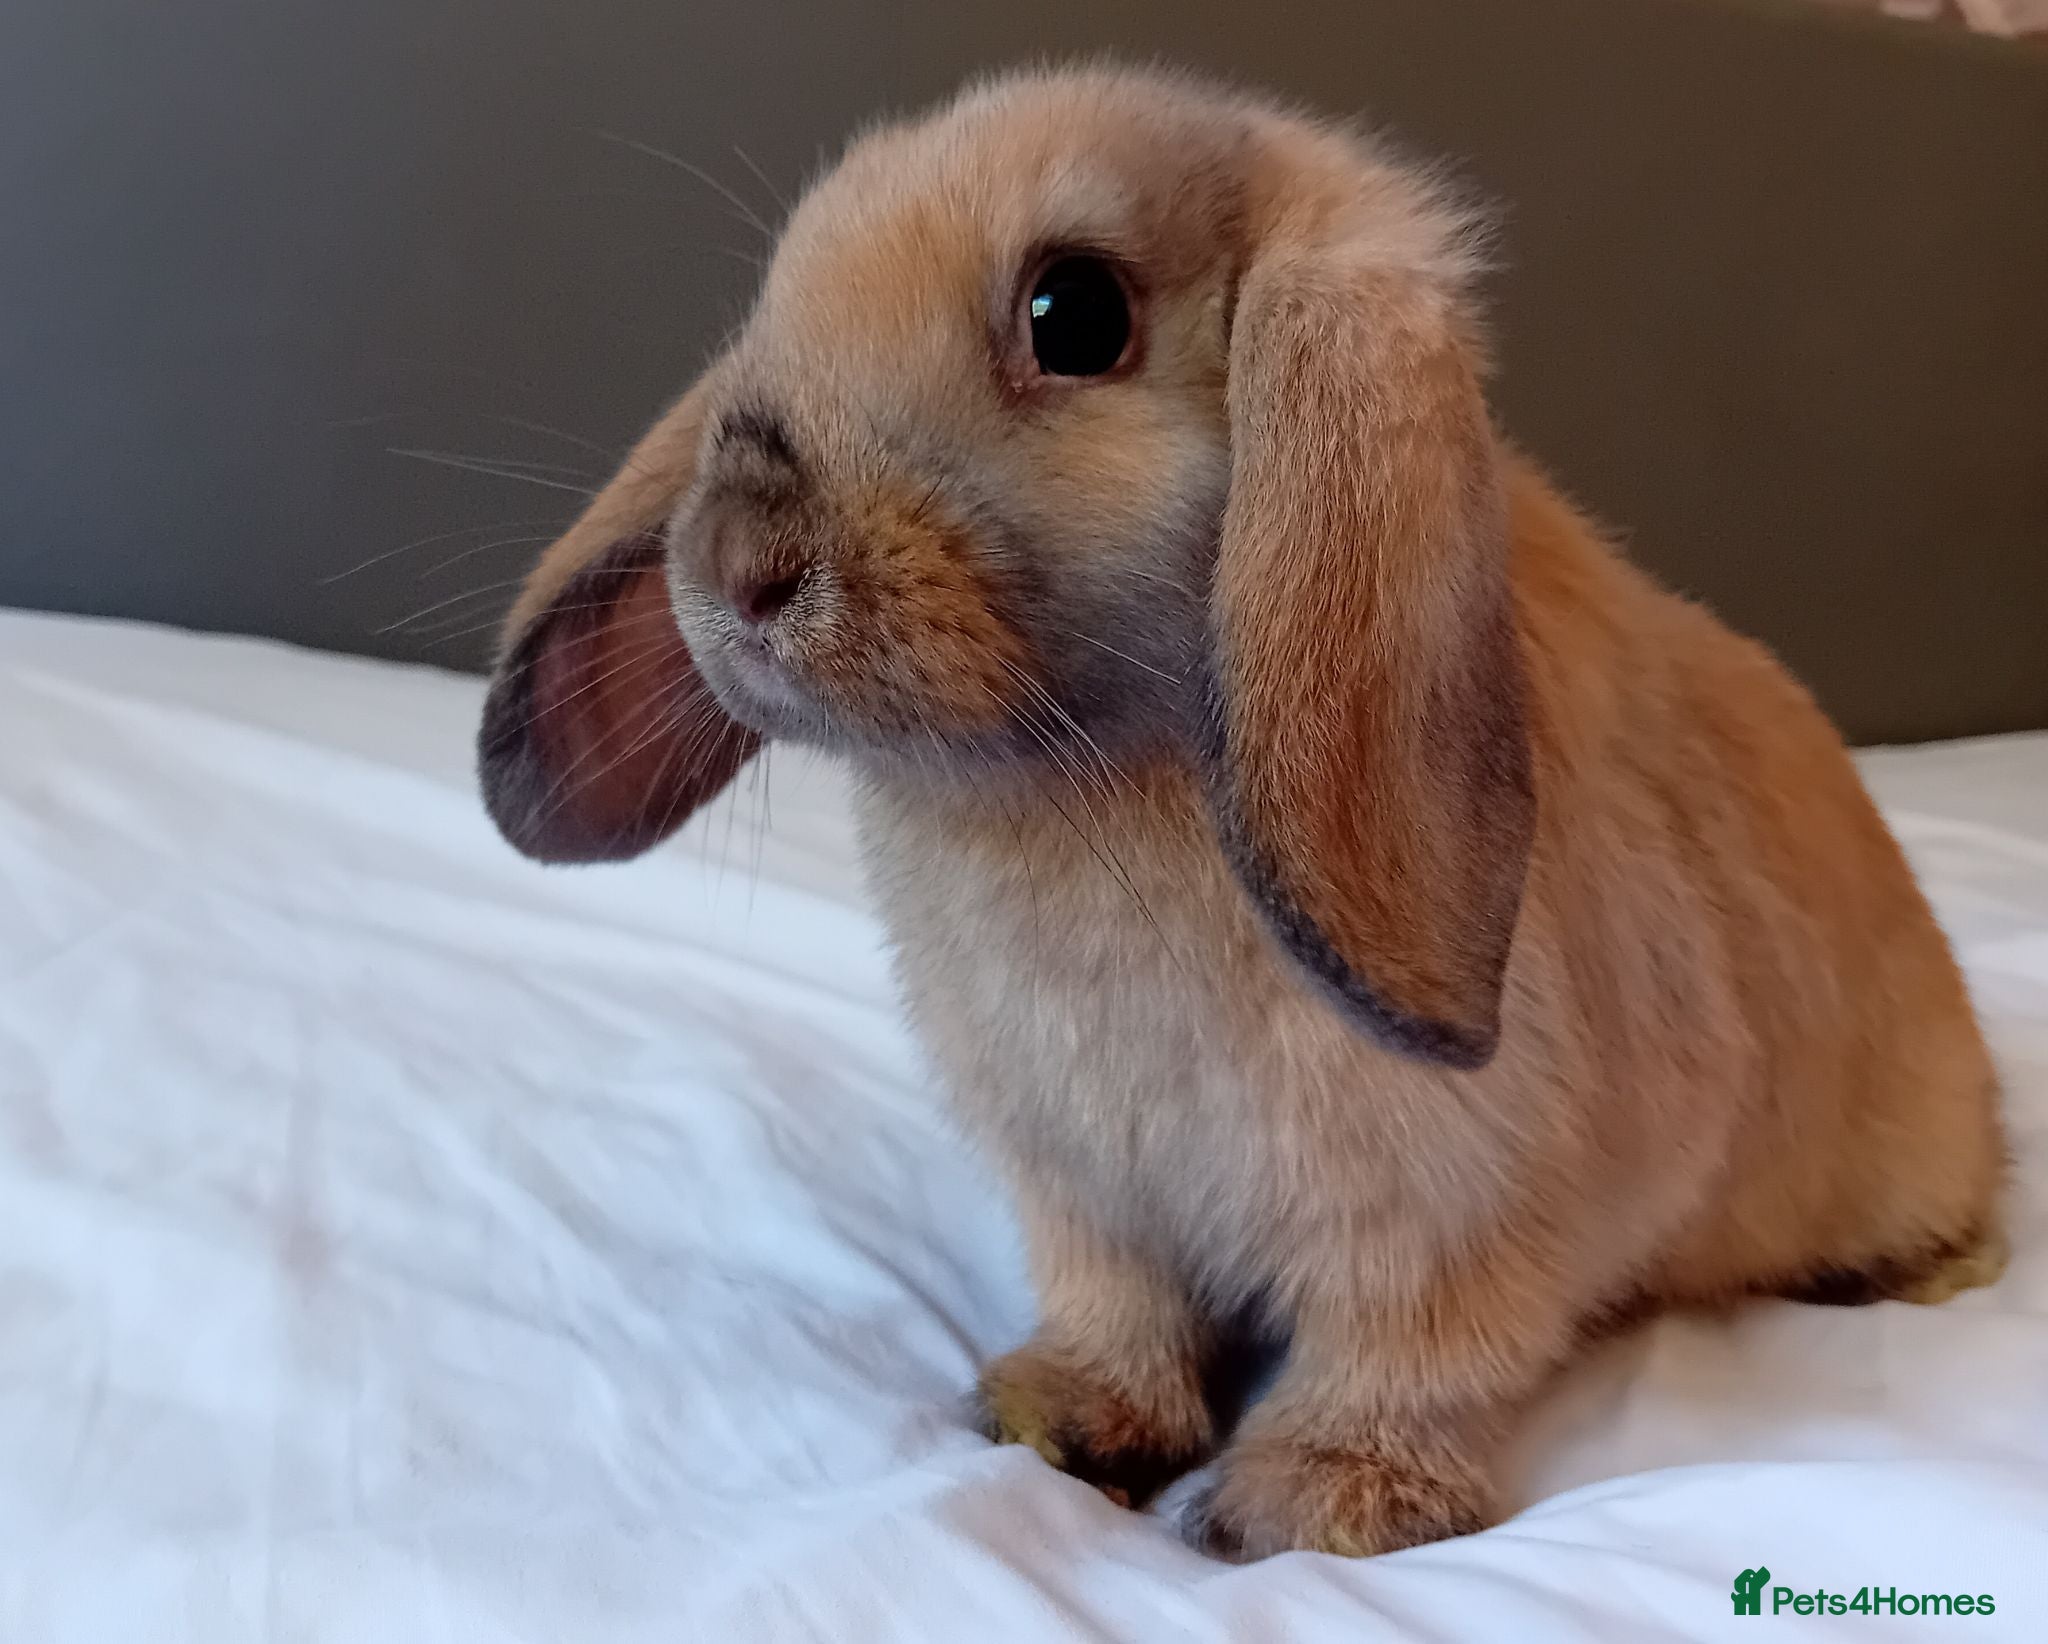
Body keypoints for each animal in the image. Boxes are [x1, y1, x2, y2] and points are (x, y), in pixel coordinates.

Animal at [475, 66, 2008, 1559]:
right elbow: (1119, 1310)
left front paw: (1311, 1504)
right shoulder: (1085, 1192)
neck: (1080, 784)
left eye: (1074, 314)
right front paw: (1057, 1420)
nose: (738, 562)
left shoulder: (1467, 1222)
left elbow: (1410, 1356)